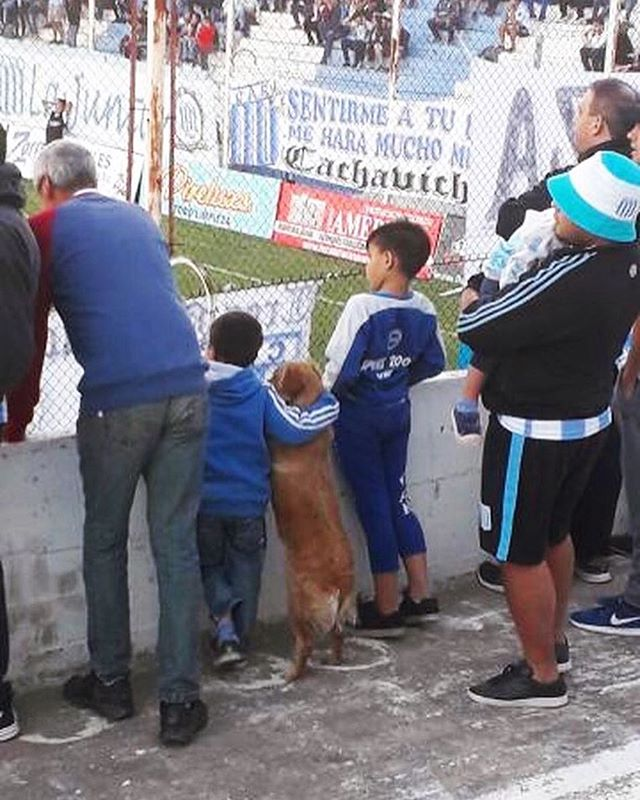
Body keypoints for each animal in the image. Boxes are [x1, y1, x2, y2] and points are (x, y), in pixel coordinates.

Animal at [268, 362, 356, 680]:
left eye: (277, 375)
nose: (267, 377)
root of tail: (339, 585)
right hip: (338, 617)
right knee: (338, 635)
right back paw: (335, 660)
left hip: (296, 602)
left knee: (304, 643)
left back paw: (292, 673)